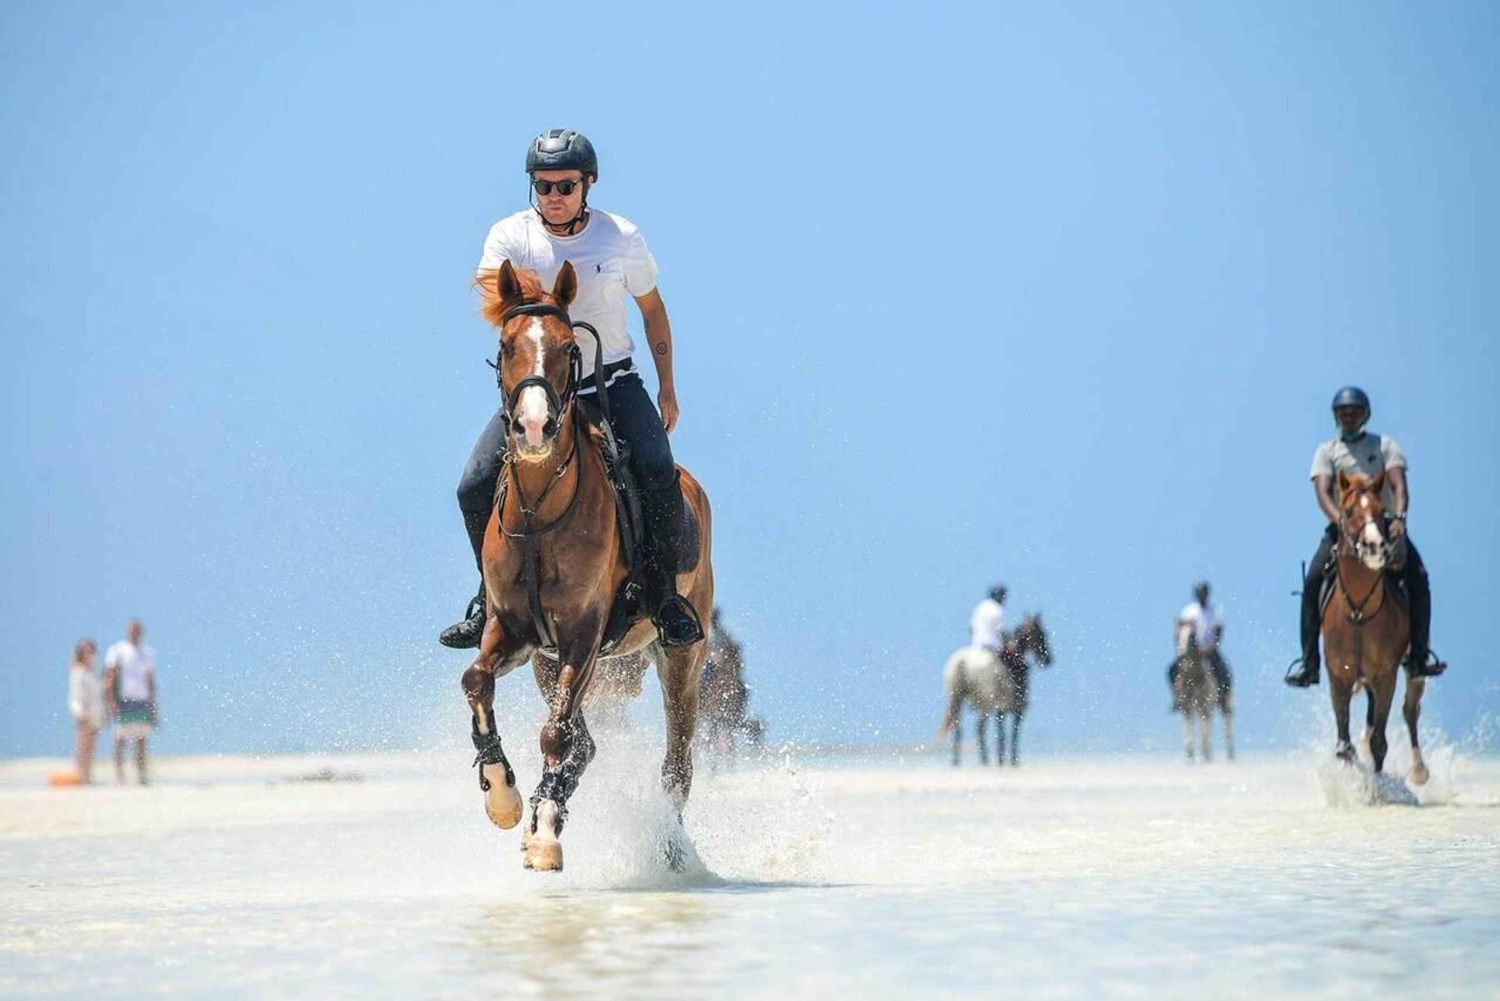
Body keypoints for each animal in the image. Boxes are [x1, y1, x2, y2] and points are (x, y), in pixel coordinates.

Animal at [459, 260, 714, 872]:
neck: (538, 508)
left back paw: (670, 849)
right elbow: (476, 680)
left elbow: (555, 735)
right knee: (589, 743)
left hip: (680, 660)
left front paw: (546, 837)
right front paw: (503, 799)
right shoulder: (514, 632)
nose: (533, 428)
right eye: (505, 346)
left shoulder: (583, 634)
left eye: (568, 348)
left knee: (676, 763)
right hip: (545, 662)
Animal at [1324, 471, 1427, 783]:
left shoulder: (1385, 676)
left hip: (1411, 667)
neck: (1359, 611)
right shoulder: (1339, 677)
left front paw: (1377, 787)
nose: (1374, 545)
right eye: (1347, 511)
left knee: (1410, 710)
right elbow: (1343, 746)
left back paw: (1419, 770)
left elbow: (1379, 742)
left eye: (1382, 512)